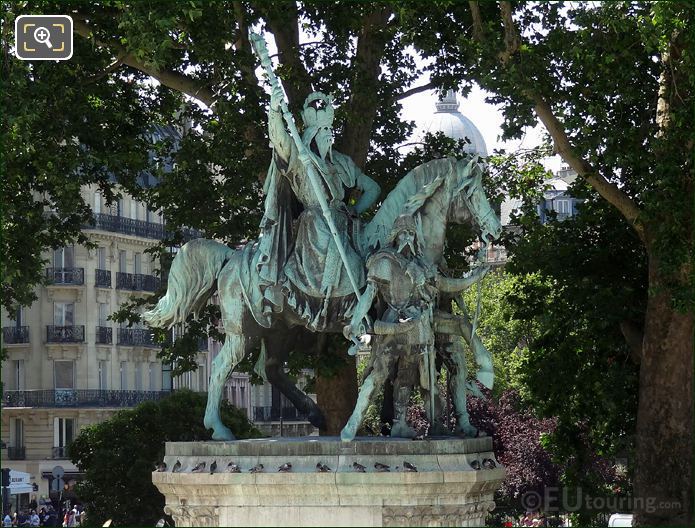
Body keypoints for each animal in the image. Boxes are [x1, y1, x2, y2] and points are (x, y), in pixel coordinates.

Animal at [144, 155, 500, 440]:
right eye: (472, 191)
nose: (495, 230)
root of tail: (232, 255)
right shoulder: (399, 319)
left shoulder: (424, 317)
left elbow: (461, 331)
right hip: (243, 331)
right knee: (220, 369)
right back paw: (219, 429)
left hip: (279, 331)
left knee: (270, 369)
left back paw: (314, 413)